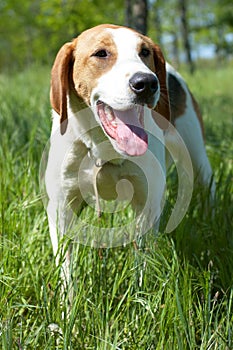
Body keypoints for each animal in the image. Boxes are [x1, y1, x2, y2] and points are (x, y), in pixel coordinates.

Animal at [45, 23, 215, 278]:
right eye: (101, 53)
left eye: (145, 52)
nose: (147, 82)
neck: (105, 148)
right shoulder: (60, 209)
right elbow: (67, 270)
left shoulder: (147, 206)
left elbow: (142, 265)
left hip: (196, 155)